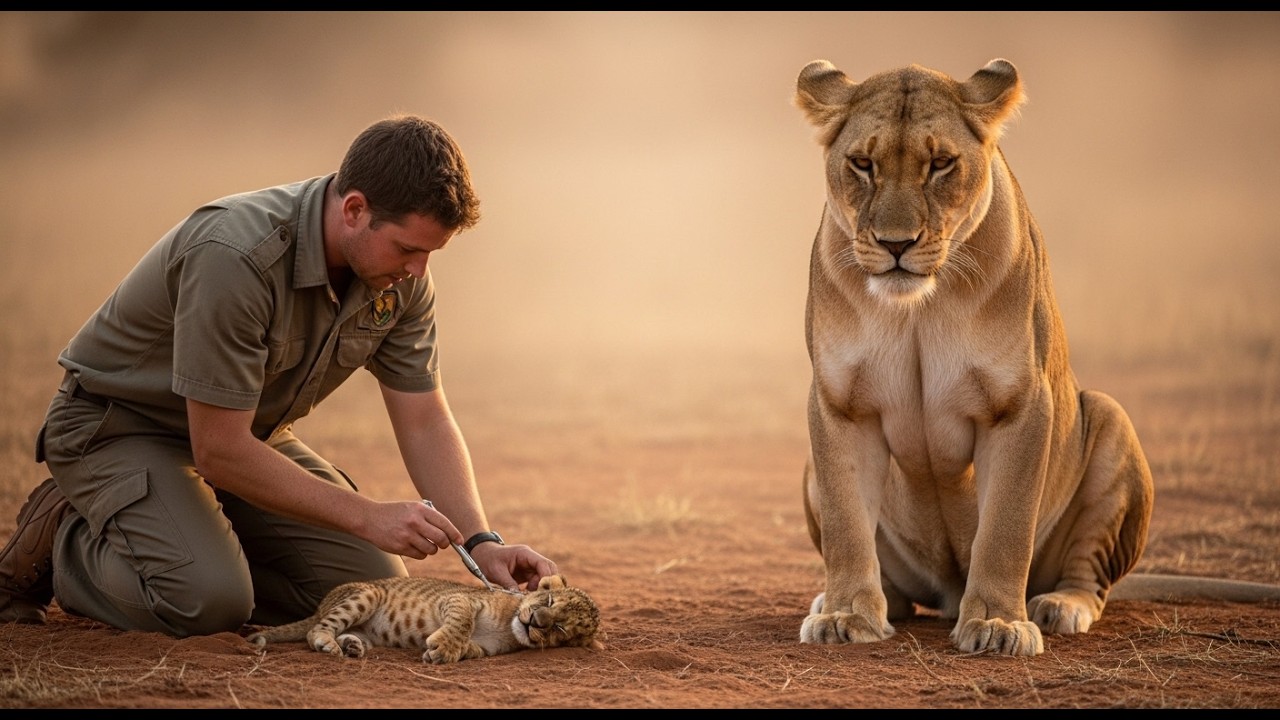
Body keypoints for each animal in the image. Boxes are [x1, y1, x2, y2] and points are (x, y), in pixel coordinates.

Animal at [794, 58, 1280, 657]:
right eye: (862, 164)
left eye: (941, 164)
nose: (896, 244)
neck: (918, 308)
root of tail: (948, 589)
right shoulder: (840, 405)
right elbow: (846, 525)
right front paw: (846, 615)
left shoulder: (1021, 404)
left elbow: (1005, 526)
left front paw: (998, 624)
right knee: (897, 585)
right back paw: (859, 601)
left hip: (1110, 418)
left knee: (1089, 576)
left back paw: (1057, 607)